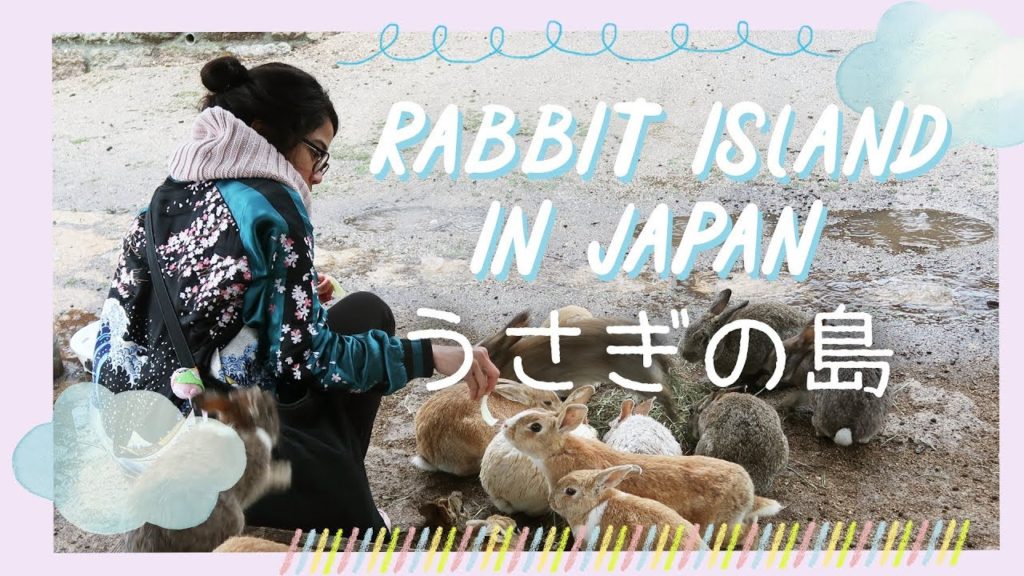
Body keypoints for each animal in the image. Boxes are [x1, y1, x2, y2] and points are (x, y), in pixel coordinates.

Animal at [123, 387, 291, 552]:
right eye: (269, 412)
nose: (269, 394)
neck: (244, 427)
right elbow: (268, 480)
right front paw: (285, 474)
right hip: (233, 518)